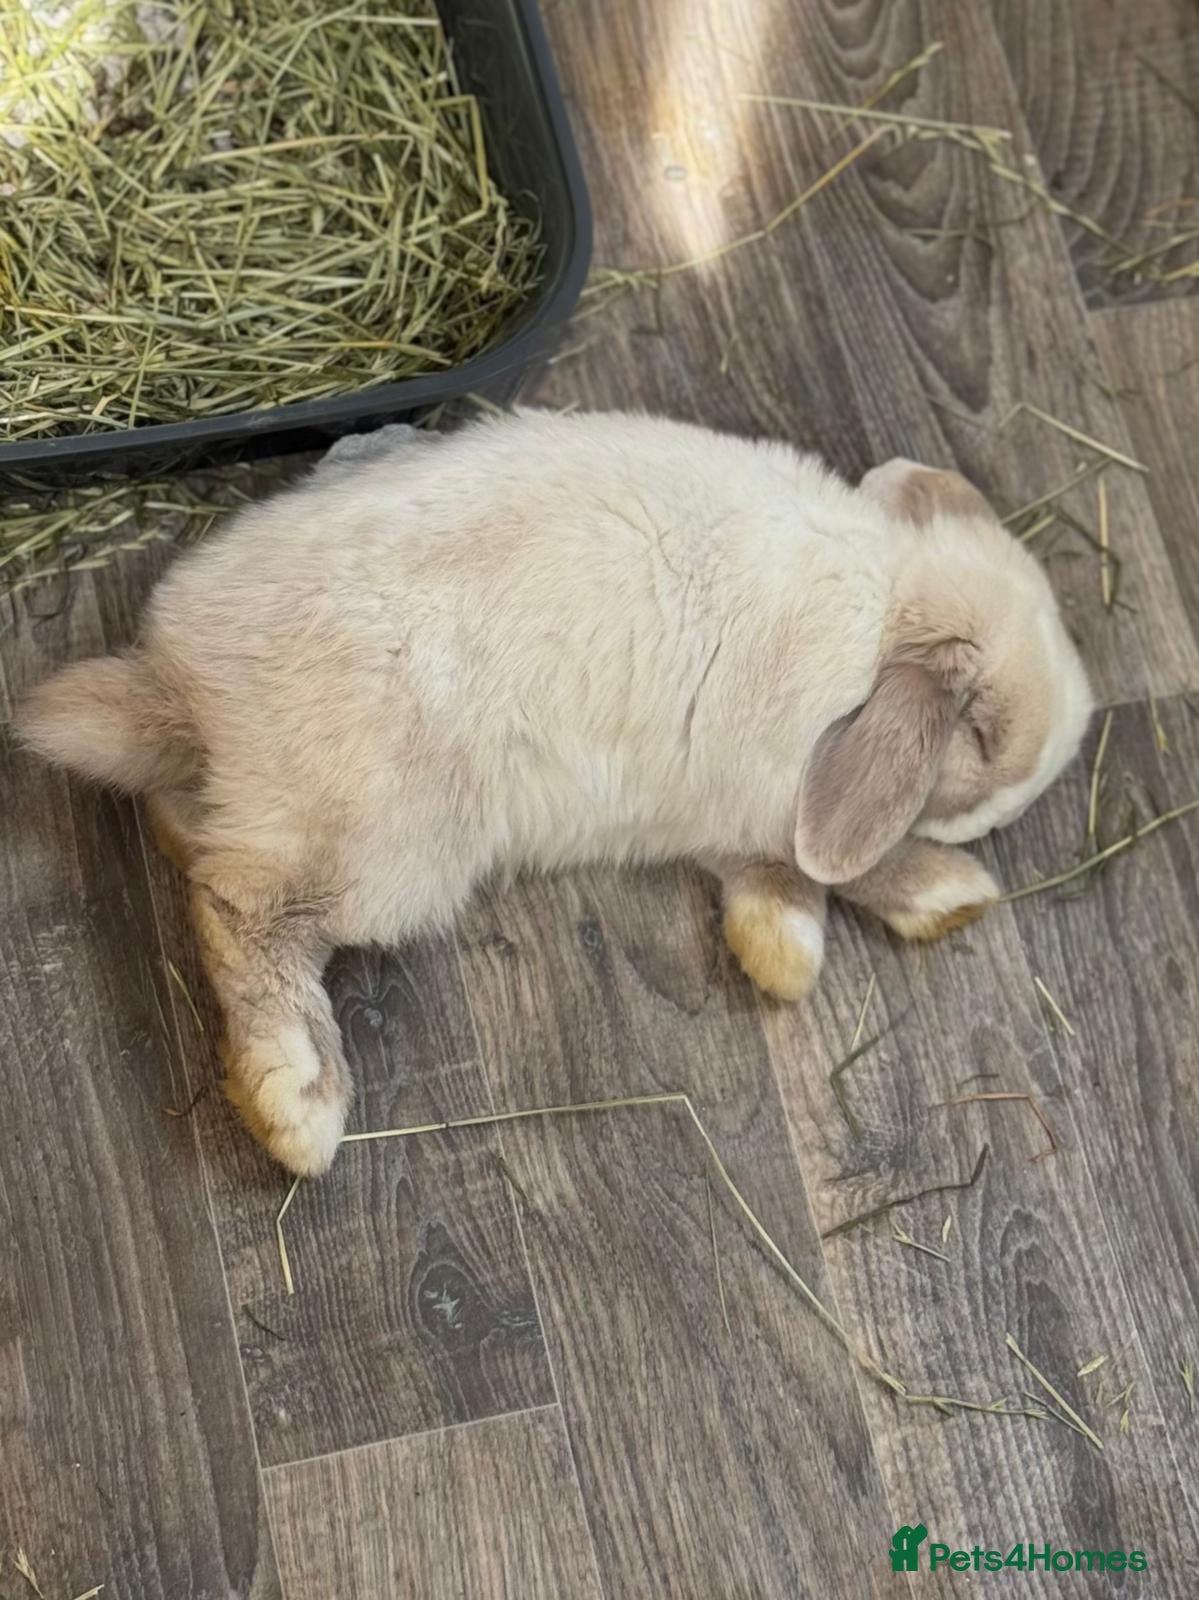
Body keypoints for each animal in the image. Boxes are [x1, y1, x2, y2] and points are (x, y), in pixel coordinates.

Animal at [19, 409, 1093, 1177]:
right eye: (982, 734)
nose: (1007, 809)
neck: (878, 620)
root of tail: (180, 686)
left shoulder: (722, 808)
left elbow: (774, 874)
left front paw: (813, 943)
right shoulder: (766, 791)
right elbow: (820, 868)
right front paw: (933, 903)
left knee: (195, 839)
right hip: (385, 847)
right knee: (240, 909)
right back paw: (298, 1099)